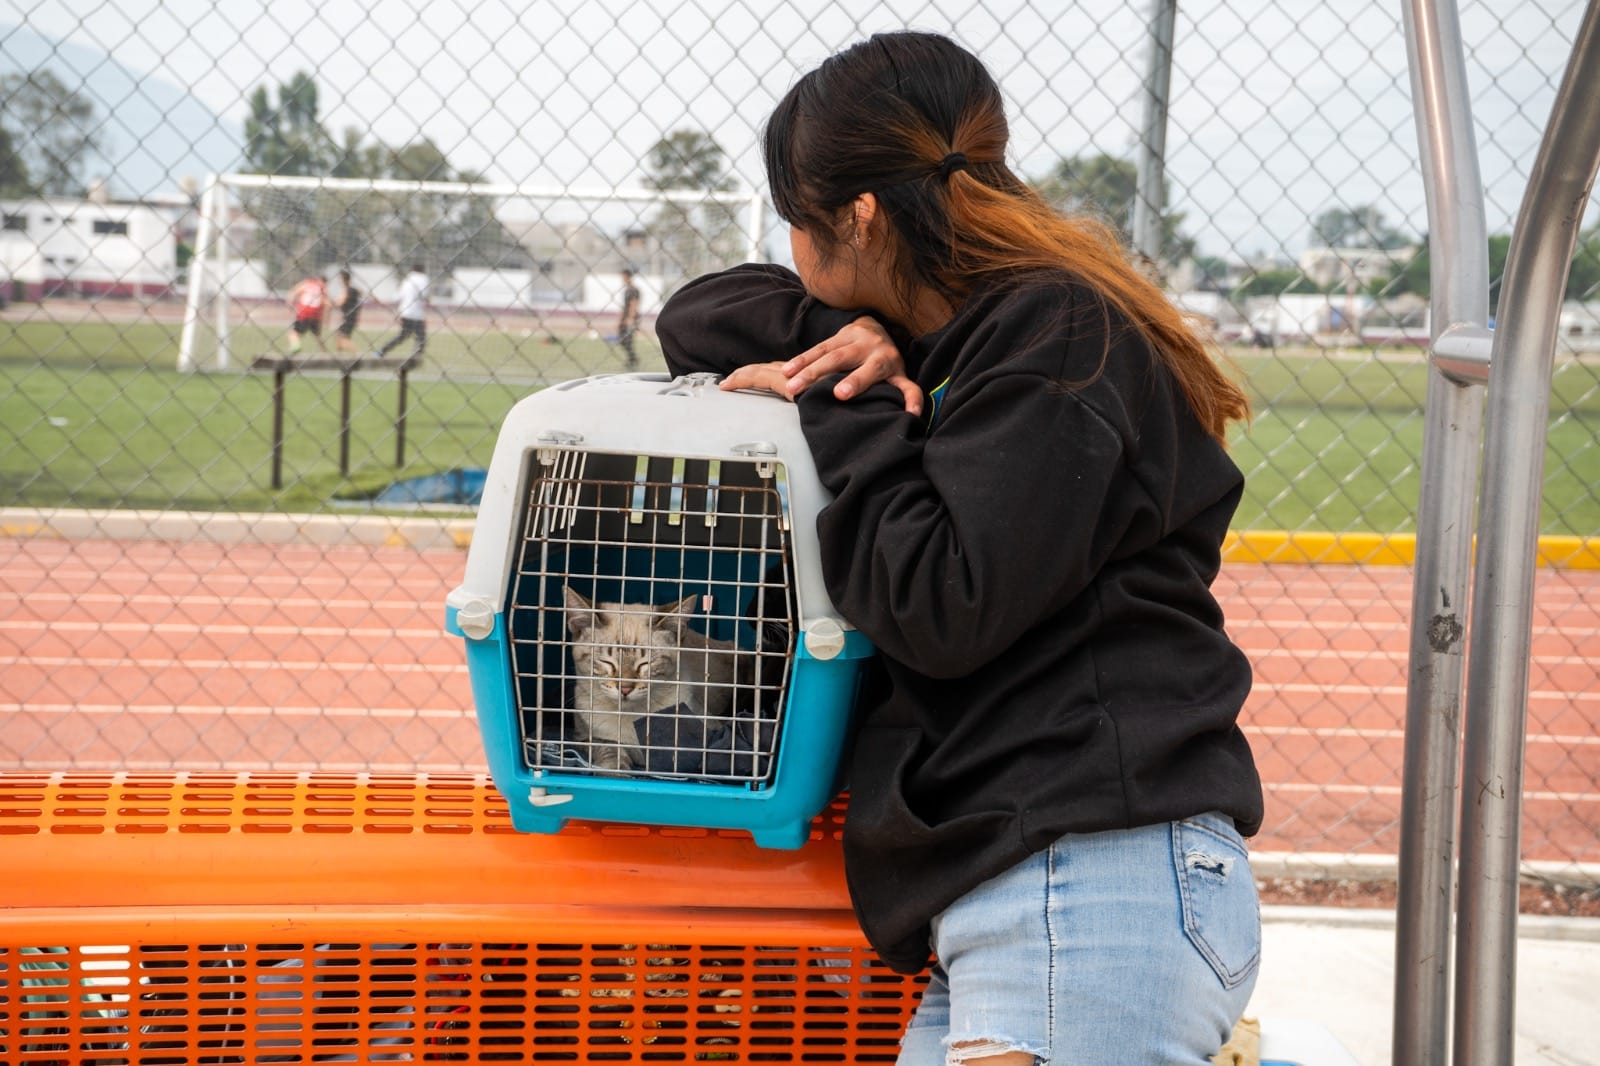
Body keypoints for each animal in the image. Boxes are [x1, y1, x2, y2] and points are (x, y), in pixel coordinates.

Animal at [563, 585, 736, 768]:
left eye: (645, 664)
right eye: (607, 662)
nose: (625, 688)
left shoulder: (712, 731)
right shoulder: (584, 738)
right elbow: (610, 750)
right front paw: (614, 770)